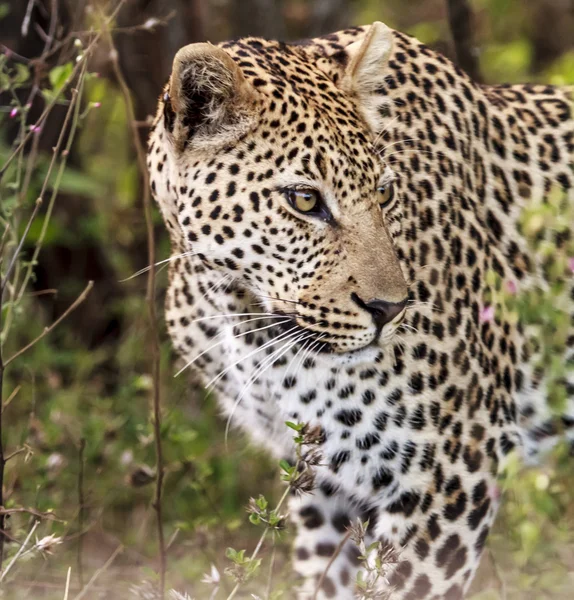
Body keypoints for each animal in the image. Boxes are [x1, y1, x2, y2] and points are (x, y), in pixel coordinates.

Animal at [145, 19, 574, 600]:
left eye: (384, 191)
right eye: (305, 200)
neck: (247, 316)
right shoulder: (321, 478)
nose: (389, 309)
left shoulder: (453, 471)